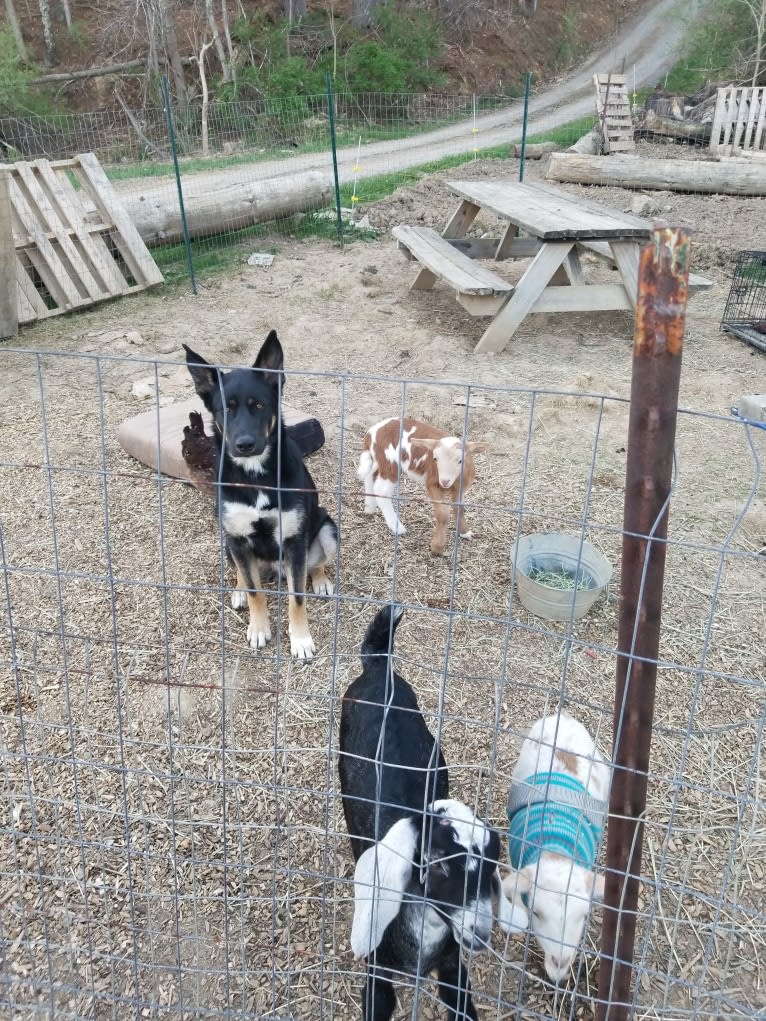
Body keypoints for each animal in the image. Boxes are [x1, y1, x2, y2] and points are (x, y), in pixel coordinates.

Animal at [184, 330, 337, 657]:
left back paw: (320, 580)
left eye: (258, 406)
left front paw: (301, 640)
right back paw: (239, 589)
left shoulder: (294, 541)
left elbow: (297, 597)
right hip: (228, 544)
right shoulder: (238, 537)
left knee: (315, 563)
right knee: (245, 573)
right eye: (226, 409)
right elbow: (256, 593)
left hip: (328, 529)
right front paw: (258, 628)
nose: (244, 444)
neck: (255, 475)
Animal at [341, 600, 527, 1016]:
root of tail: (378, 665)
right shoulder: (377, 977)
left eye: (491, 867)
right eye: (437, 864)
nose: (479, 933)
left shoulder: (454, 971)